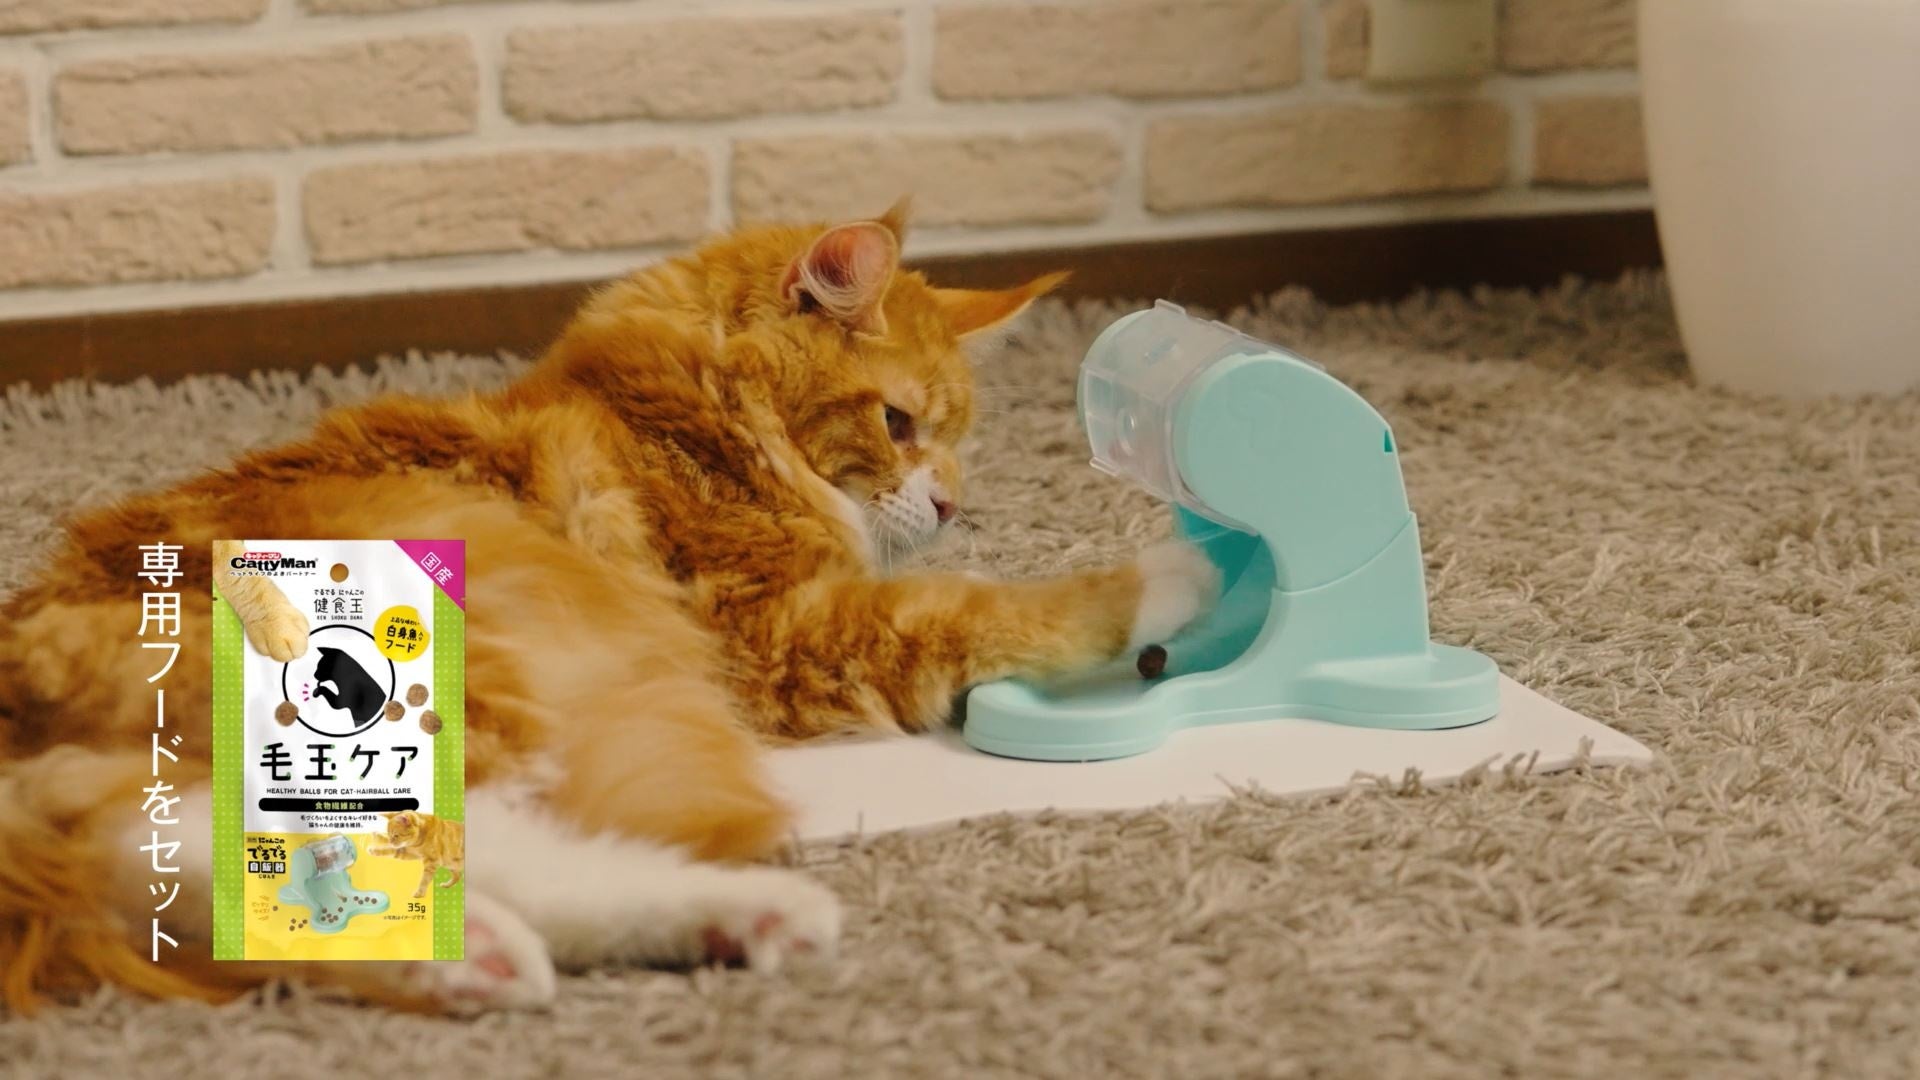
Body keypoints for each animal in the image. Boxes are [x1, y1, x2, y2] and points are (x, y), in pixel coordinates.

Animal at [0, 202, 1217, 1013]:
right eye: (900, 424)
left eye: (957, 437)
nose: (957, 503)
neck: (683, 413)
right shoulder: (788, 635)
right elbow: (985, 607)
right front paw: (1171, 579)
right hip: (451, 700)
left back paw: (674, 931)